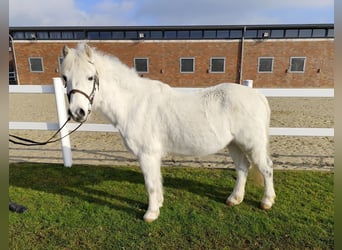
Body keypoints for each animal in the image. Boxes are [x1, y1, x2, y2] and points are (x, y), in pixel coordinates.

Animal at [60, 43, 276, 223]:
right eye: (64, 78)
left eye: (90, 77)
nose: (77, 112)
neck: (134, 103)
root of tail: (258, 96)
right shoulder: (153, 156)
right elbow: (156, 182)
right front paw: (159, 205)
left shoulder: (147, 155)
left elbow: (150, 184)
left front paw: (150, 214)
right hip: (234, 144)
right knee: (242, 168)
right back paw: (234, 199)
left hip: (252, 144)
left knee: (266, 168)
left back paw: (267, 201)